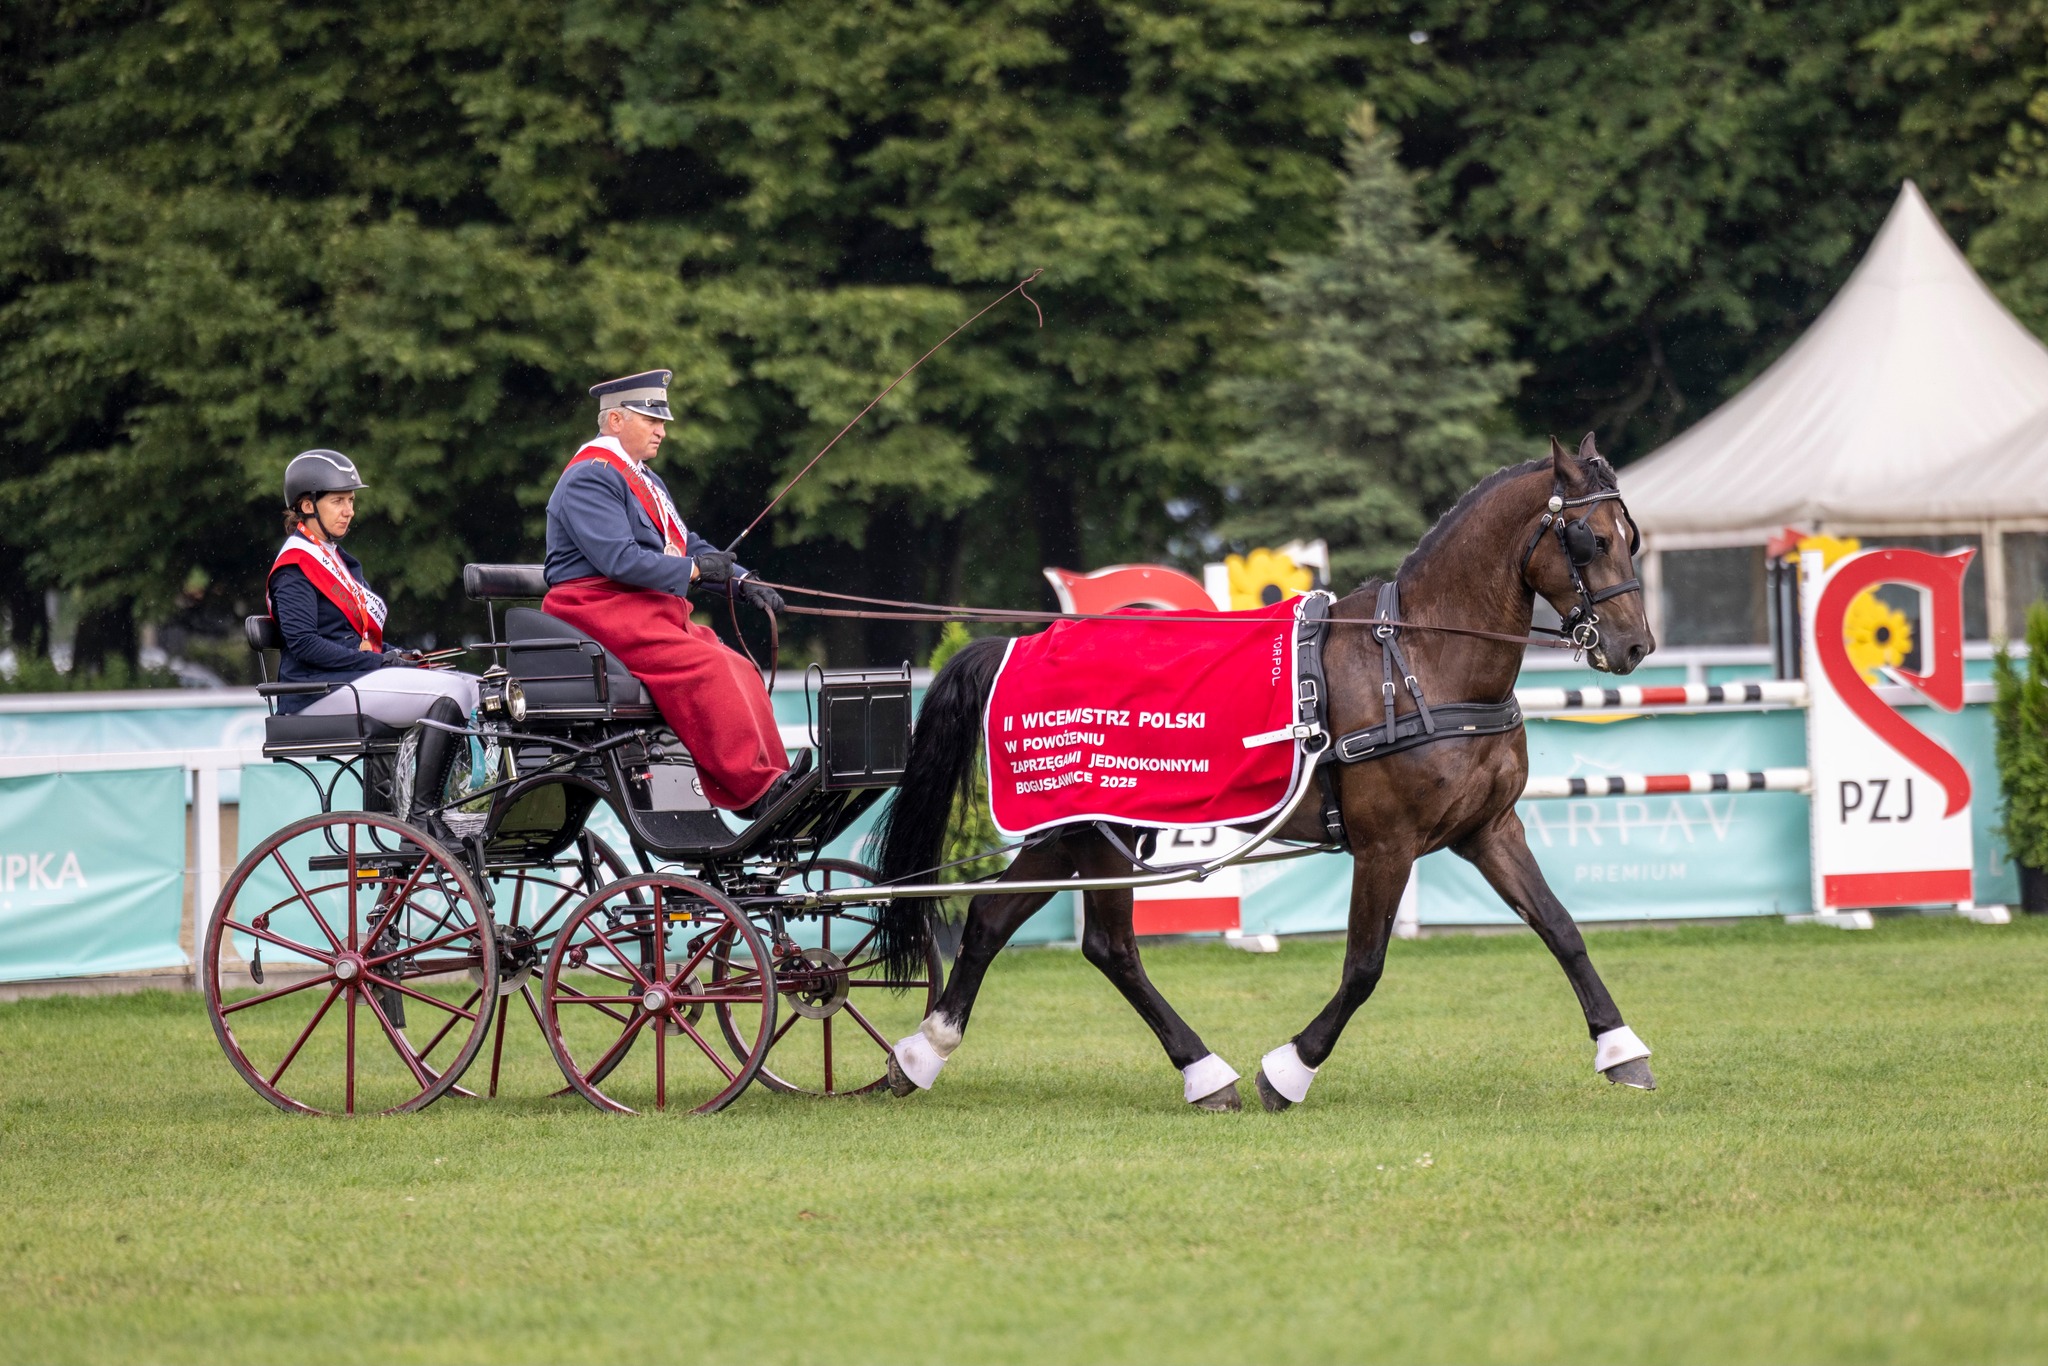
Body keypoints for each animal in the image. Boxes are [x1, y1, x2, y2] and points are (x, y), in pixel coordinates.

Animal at [872, 433, 1659, 1111]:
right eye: (1588, 539)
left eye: (1631, 538)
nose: (1635, 646)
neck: (1421, 660)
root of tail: (1026, 643)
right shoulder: (1386, 845)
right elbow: (1364, 966)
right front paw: (1290, 1069)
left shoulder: (1489, 829)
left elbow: (1560, 927)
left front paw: (1621, 1048)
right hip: (1102, 829)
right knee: (1110, 946)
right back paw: (1202, 1071)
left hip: (1069, 828)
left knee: (991, 919)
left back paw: (922, 1052)